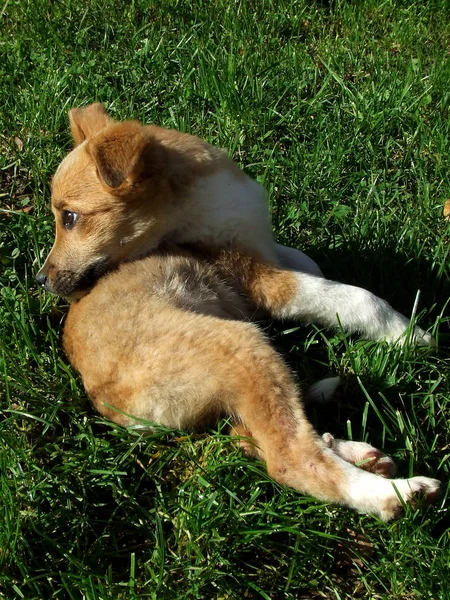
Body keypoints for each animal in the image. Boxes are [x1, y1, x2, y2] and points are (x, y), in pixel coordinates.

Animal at [63, 245, 440, 520]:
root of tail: (111, 406)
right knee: (288, 457)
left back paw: (360, 455)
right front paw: (410, 334)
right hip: (239, 344)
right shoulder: (266, 281)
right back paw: (399, 494)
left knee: (258, 437)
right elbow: (360, 298)